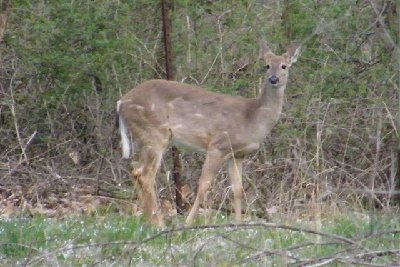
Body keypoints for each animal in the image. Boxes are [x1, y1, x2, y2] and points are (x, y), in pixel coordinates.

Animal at [117, 43, 302, 227]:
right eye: (267, 65)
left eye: (284, 66)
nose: (273, 79)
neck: (252, 118)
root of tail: (121, 102)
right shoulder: (218, 145)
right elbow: (203, 185)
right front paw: (188, 223)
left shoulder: (237, 154)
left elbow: (238, 189)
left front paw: (238, 224)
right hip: (155, 133)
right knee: (146, 176)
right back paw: (159, 223)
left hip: (146, 137)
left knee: (136, 171)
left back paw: (150, 221)